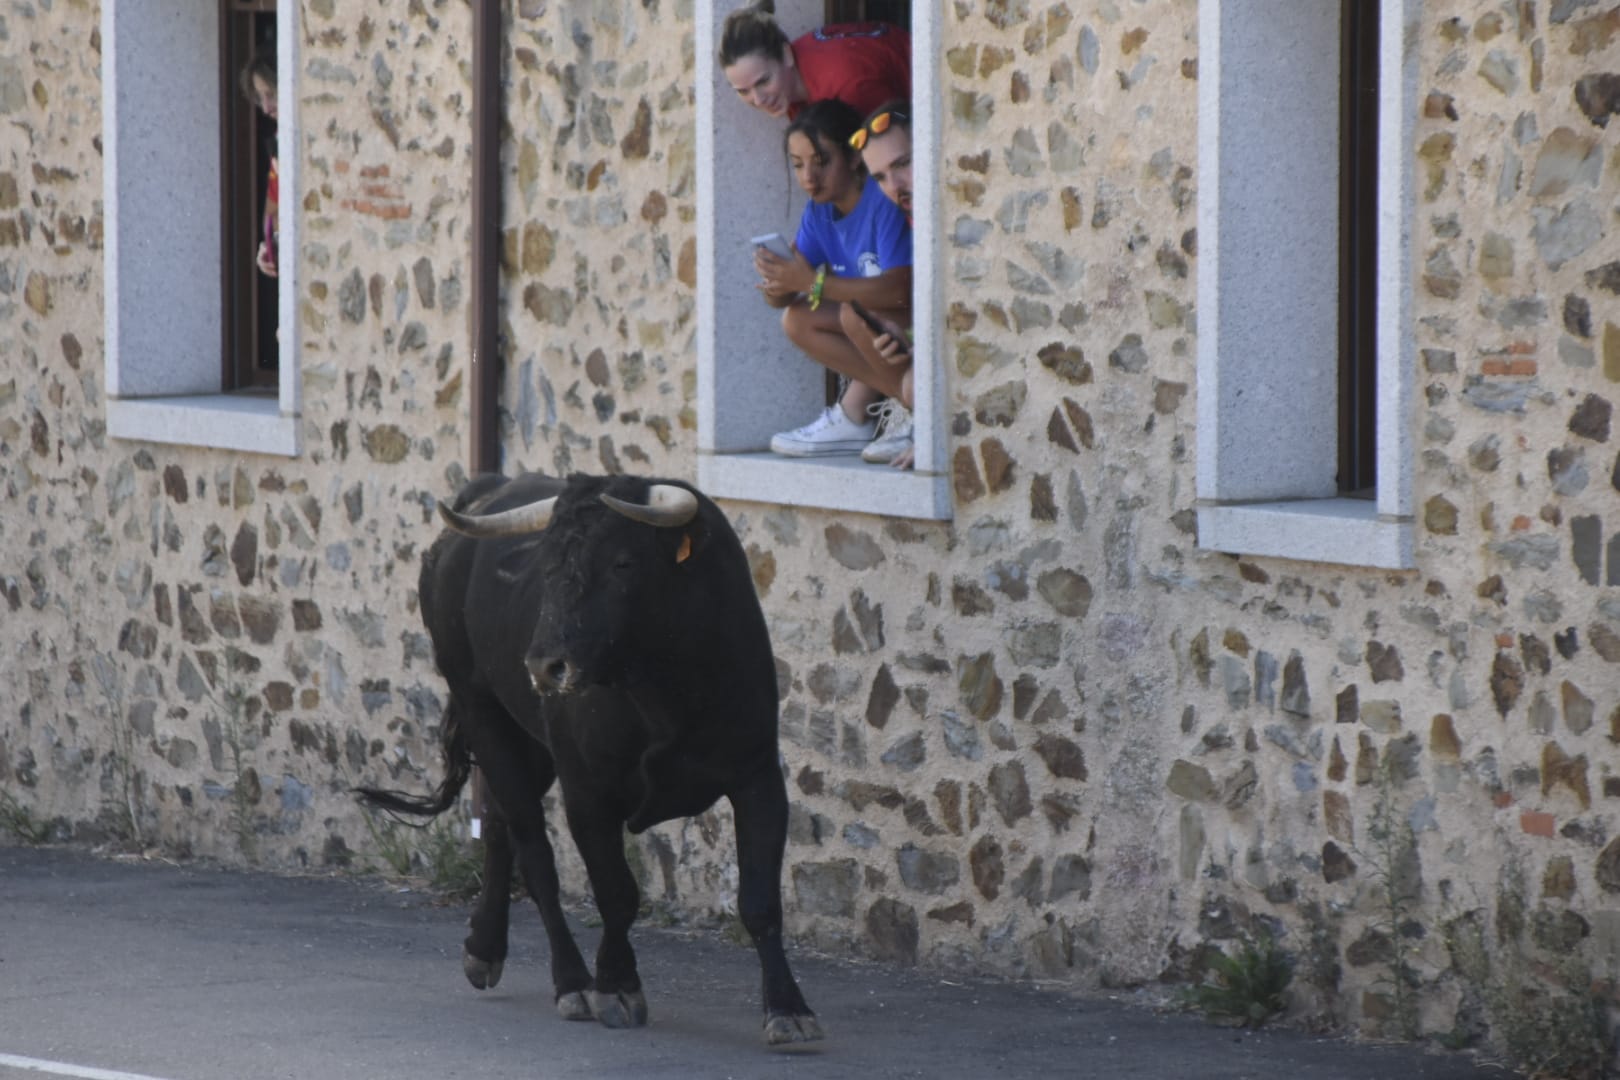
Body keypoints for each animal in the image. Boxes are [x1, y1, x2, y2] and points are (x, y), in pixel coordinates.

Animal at [364, 476, 822, 1049]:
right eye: (547, 566)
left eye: (624, 562)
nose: (545, 666)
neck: (667, 690)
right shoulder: (588, 792)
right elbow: (616, 893)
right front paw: (616, 985)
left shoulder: (759, 777)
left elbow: (760, 900)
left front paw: (787, 1007)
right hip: (483, 713)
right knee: (534, 854)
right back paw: (571, 982)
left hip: (529, 745)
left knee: (498, 826)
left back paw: (484, 948)